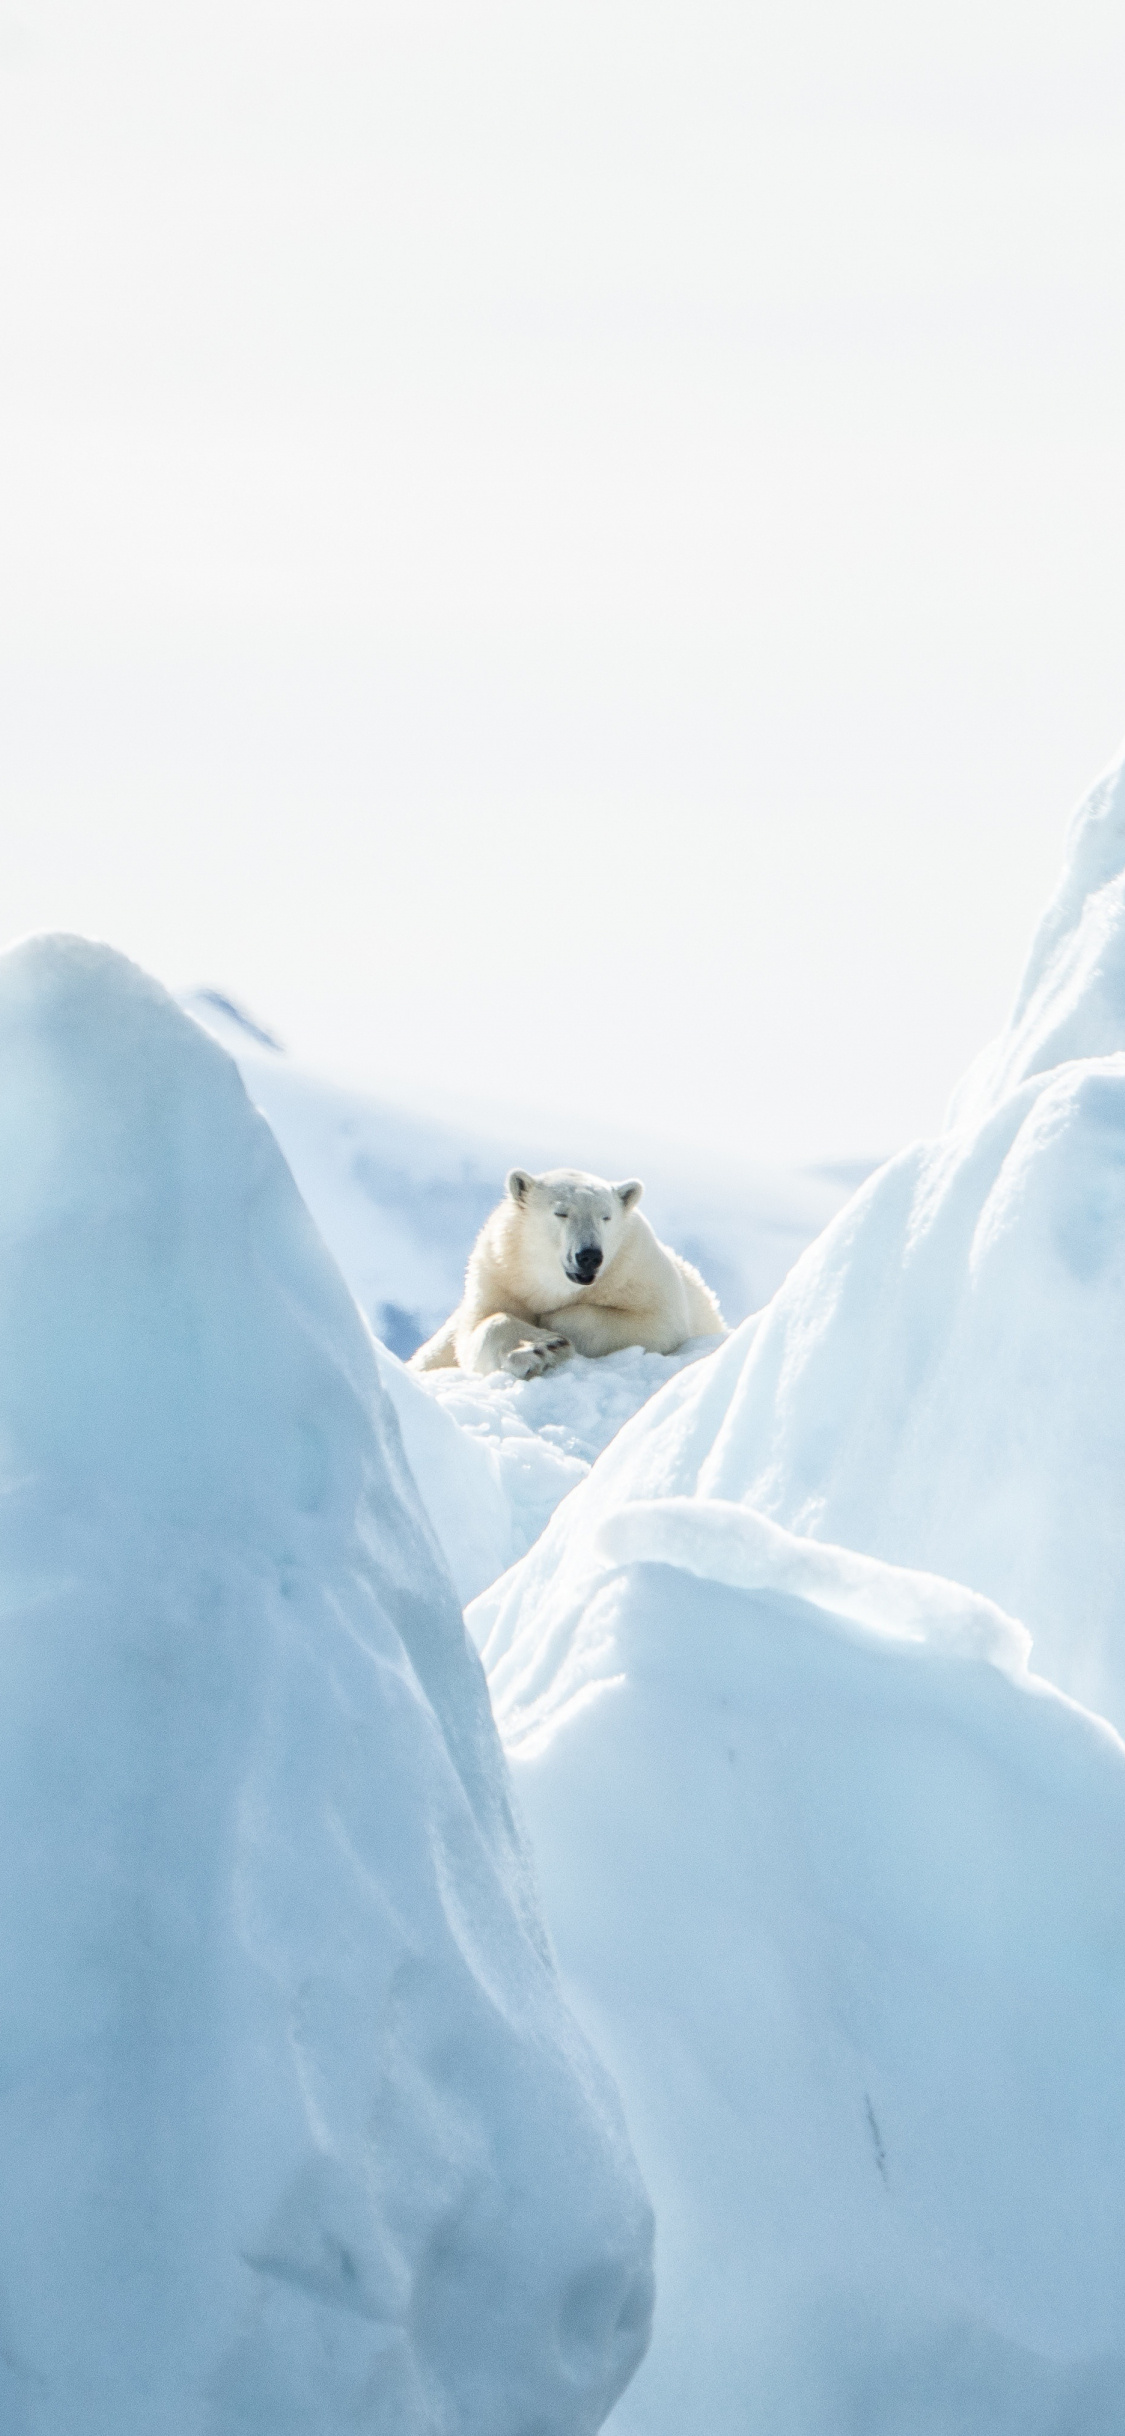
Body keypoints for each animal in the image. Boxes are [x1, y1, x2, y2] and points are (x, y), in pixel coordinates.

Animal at [409, 1169, 725, 1383]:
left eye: (605, 1216)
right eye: (561, 1213)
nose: (589, 1255)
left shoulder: (636, 1268)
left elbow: (658, 1323)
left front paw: (551, 1334)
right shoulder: (500, 1273)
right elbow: (477, 1329)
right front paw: (537, 1349)